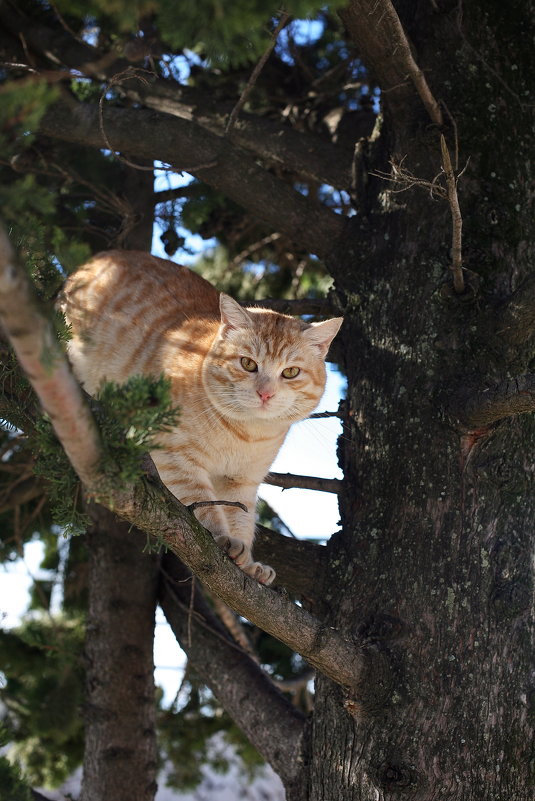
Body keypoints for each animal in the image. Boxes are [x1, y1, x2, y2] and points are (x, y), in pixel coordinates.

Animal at [59, 253, 344, 584]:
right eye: (248, 364)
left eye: (290, 372)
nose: (265, 393)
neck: (246, 434)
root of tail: (100, 256)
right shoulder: (176, 459)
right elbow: (204, 509)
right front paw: (222, 538)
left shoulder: (242, 482)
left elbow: (241, 518)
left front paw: (248, 563)